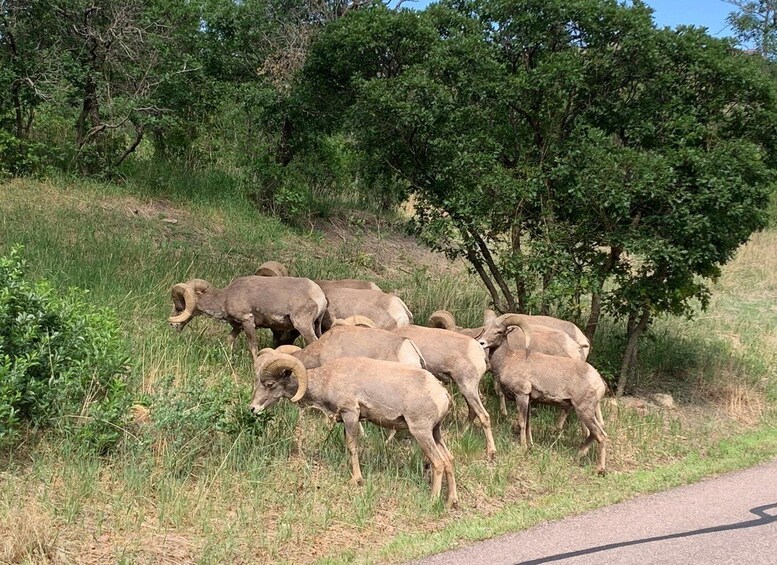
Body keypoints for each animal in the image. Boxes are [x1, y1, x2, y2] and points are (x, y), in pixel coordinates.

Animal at [168, 276, 326, 368]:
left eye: (179, 307)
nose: (172, 324)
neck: (225, 298)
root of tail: (320, 297)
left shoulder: (248, 321)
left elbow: (253, 347)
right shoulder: (238, 327)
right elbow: (229, 340)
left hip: (303, 325)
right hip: (316, 326)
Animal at [249, 352, 458, 506]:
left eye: (269, 384)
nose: (252, 408)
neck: (328, 379)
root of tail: (442, 394)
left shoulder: (351, 414)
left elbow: (352, 446)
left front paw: (357, 479)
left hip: (421, 433)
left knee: (439, 462)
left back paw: (432, 500)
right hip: (436, 432)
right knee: (448, 459)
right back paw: (451, 502)